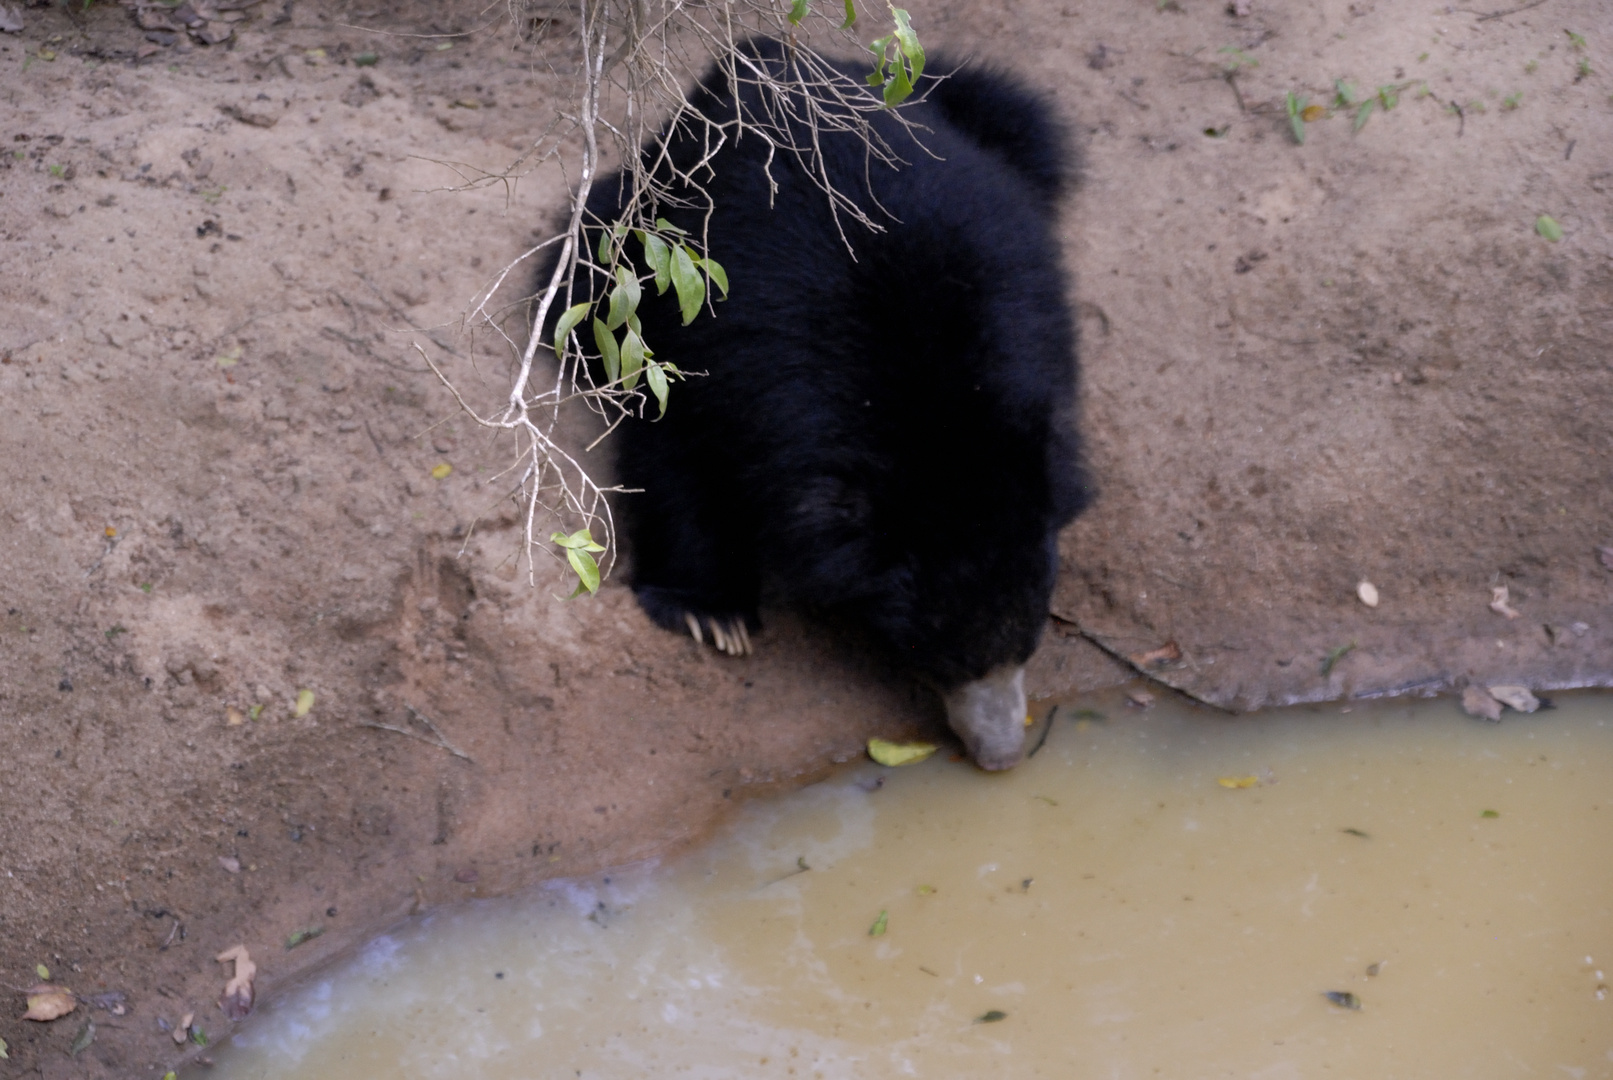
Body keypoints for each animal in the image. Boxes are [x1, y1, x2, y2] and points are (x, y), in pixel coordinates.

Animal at [548, 40, 1090, 770]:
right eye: (940, 655)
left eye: (1026, 646)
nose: (1001, 754)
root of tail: (768, 57)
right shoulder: (728, 341)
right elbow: (674, 447)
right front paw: (712, 616)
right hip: (644, 222)